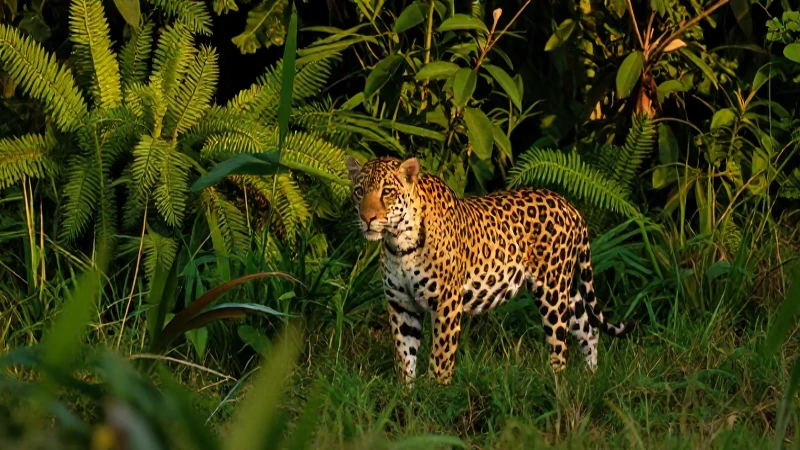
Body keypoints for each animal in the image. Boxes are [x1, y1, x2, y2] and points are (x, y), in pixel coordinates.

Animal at [346, 155, 634, 385]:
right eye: (359, 191)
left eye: (387, 192)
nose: (366, 218)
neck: (399, 243)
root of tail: (570, 206)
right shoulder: (401, 304)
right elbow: (405, 356)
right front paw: (407, 396)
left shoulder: (446, 302)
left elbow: (441, 355)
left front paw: (435, 393)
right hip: (564, 287)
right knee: (588, 326)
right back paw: (590, 379)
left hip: (551, 290)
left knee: (559, 345)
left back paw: (557, 384)